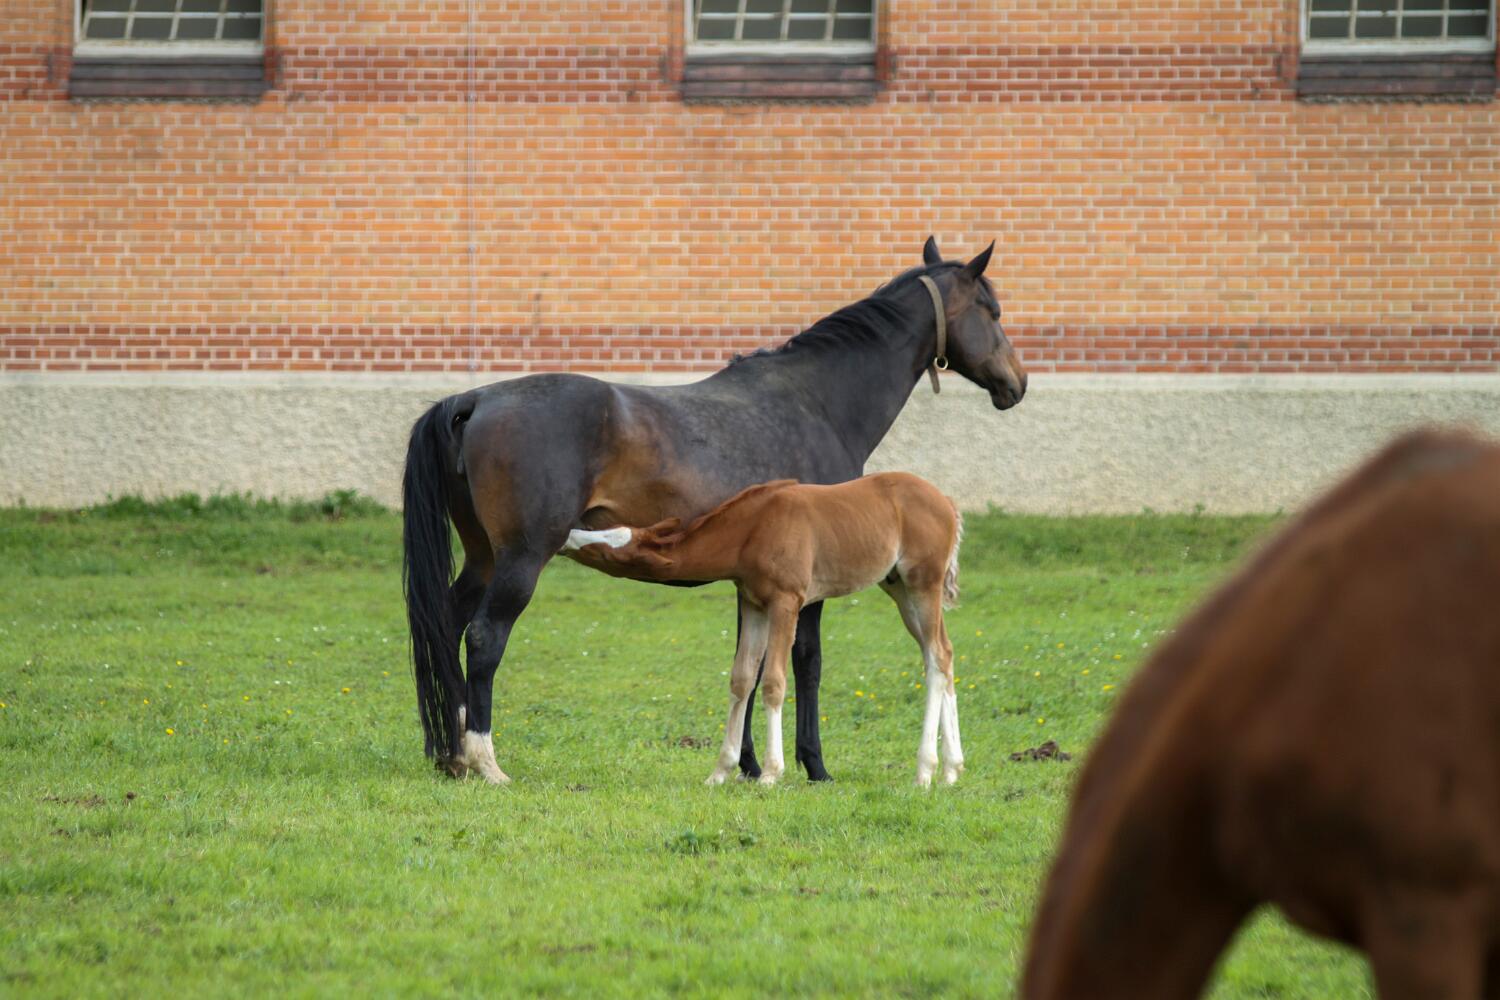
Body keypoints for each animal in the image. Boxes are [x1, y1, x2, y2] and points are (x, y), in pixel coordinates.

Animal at [562, 472, 965, 787]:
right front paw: (720, 771)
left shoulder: (786, 602)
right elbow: (741, 678)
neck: (753, 529)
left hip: (923, 584)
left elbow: (772, 682)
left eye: (606, 550)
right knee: (942, 655)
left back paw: (925, 771)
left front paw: (771, 772)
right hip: (899, 588)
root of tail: (946, 502)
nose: (567, 536)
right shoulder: (752, 603)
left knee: (936, 656)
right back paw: (951, 769)